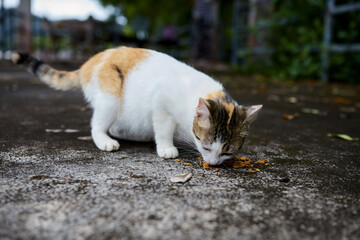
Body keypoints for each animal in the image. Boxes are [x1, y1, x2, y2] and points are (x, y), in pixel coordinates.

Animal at [11, 47, 262, 167]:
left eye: (227, 152)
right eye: (206, 146)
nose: (212, 163)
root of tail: (88, 63)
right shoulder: (161, 102)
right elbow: (163, 128)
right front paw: (166, 147)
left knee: (118, 126)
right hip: (111, 96)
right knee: (98, 125)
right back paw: (105, 141)